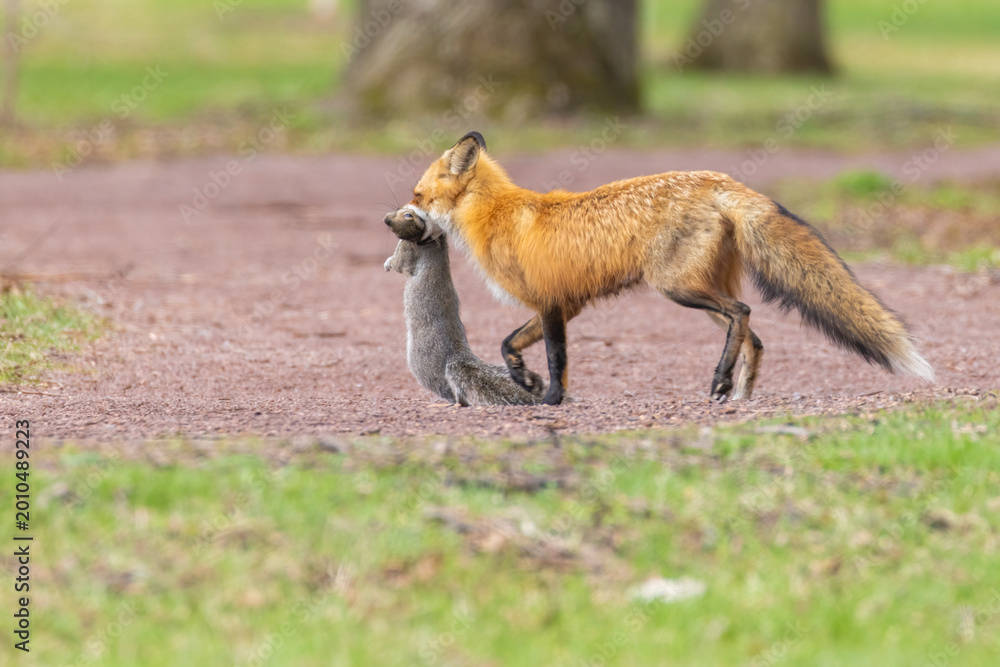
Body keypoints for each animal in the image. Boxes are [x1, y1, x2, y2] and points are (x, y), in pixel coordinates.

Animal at [382, 207, 545, 406]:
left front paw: (388, 263)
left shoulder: (406, 253)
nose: (386, 219)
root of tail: (454, 354)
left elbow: (398, 263)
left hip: (423, 365)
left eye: (408, 215)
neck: (435, 244)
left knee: (445, 387)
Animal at [401, 131, 934, 406]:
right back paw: (739, 394)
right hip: (698, 291)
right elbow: (509, 343)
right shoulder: (564, 305)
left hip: (676, 287)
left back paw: (722, 381)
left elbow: (556, 360)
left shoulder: (553, 303)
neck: (497, 214)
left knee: (743, 314)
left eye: (417, 195)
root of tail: (723, 180)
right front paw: (523, 380)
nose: (398, 217)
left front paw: (549, 399)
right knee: (755, 336)